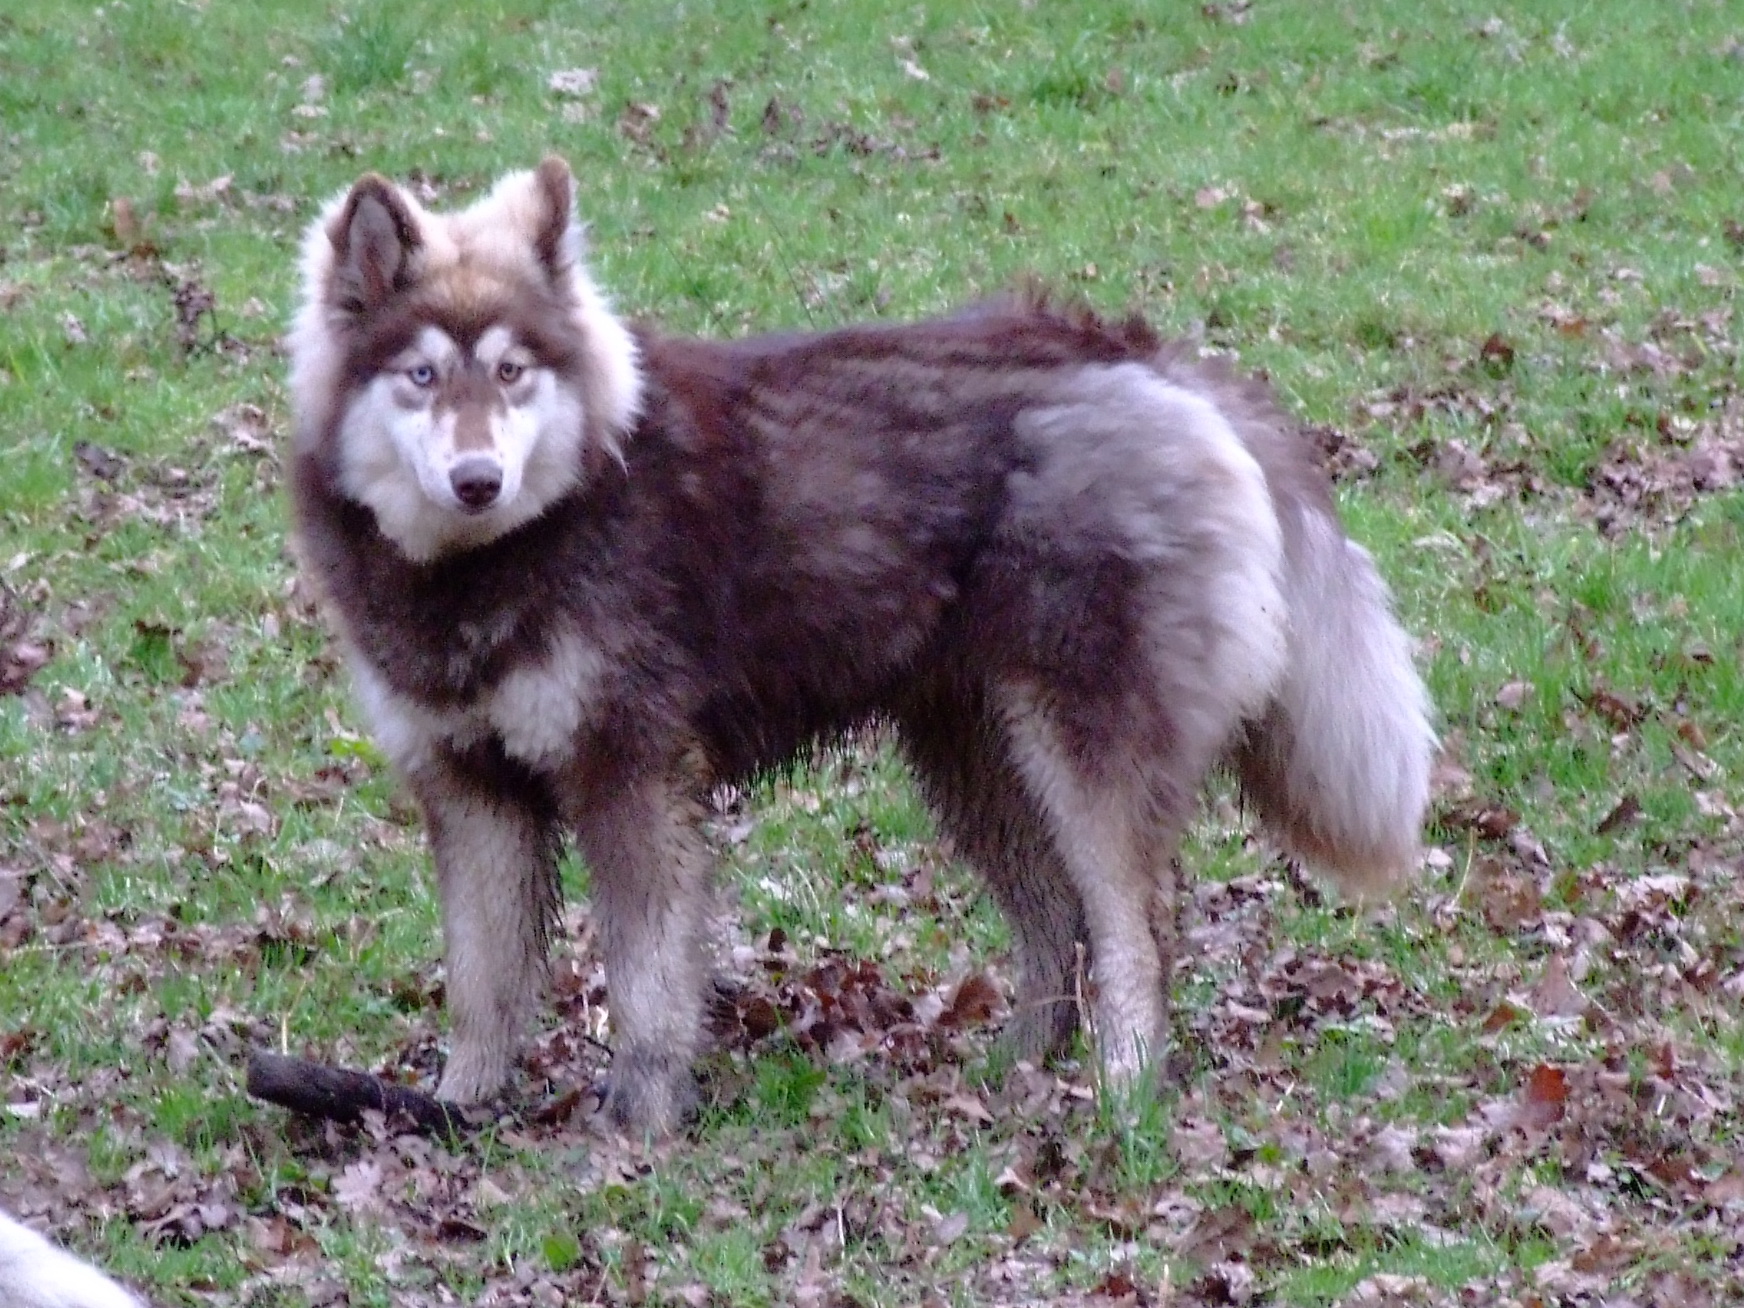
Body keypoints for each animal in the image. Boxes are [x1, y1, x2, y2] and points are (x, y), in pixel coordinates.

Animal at [282, 153, 1430, 1137]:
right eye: (422, 377)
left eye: (514, 371)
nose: (478, 481)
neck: (495, 557)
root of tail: (1134, 351)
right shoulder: (472, 791)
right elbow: (481, 987)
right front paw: (455, 1111)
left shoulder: (630, 775)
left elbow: (645, 980)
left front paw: (636, 1123)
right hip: (975, 761)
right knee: (1055, 920)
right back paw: (1015, 1070)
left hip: (1079, 751)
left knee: (1134, 927)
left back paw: (1122, 1088)